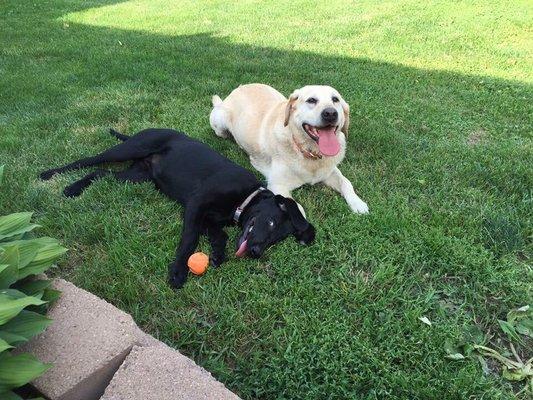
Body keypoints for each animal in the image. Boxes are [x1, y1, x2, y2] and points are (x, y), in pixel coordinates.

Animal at [42, 128, 316, 288]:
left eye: (277, 240)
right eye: (270, 223)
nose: (256, 252)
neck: (244, 198)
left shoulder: (208, 218)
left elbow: (221, 235)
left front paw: (217, 254)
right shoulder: (196, 205)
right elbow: (189, 239)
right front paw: (178, 271)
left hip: (137, 176)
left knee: (99, 173)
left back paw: (75, 188)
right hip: (129, 149)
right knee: (88, 161)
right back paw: (53, 176)